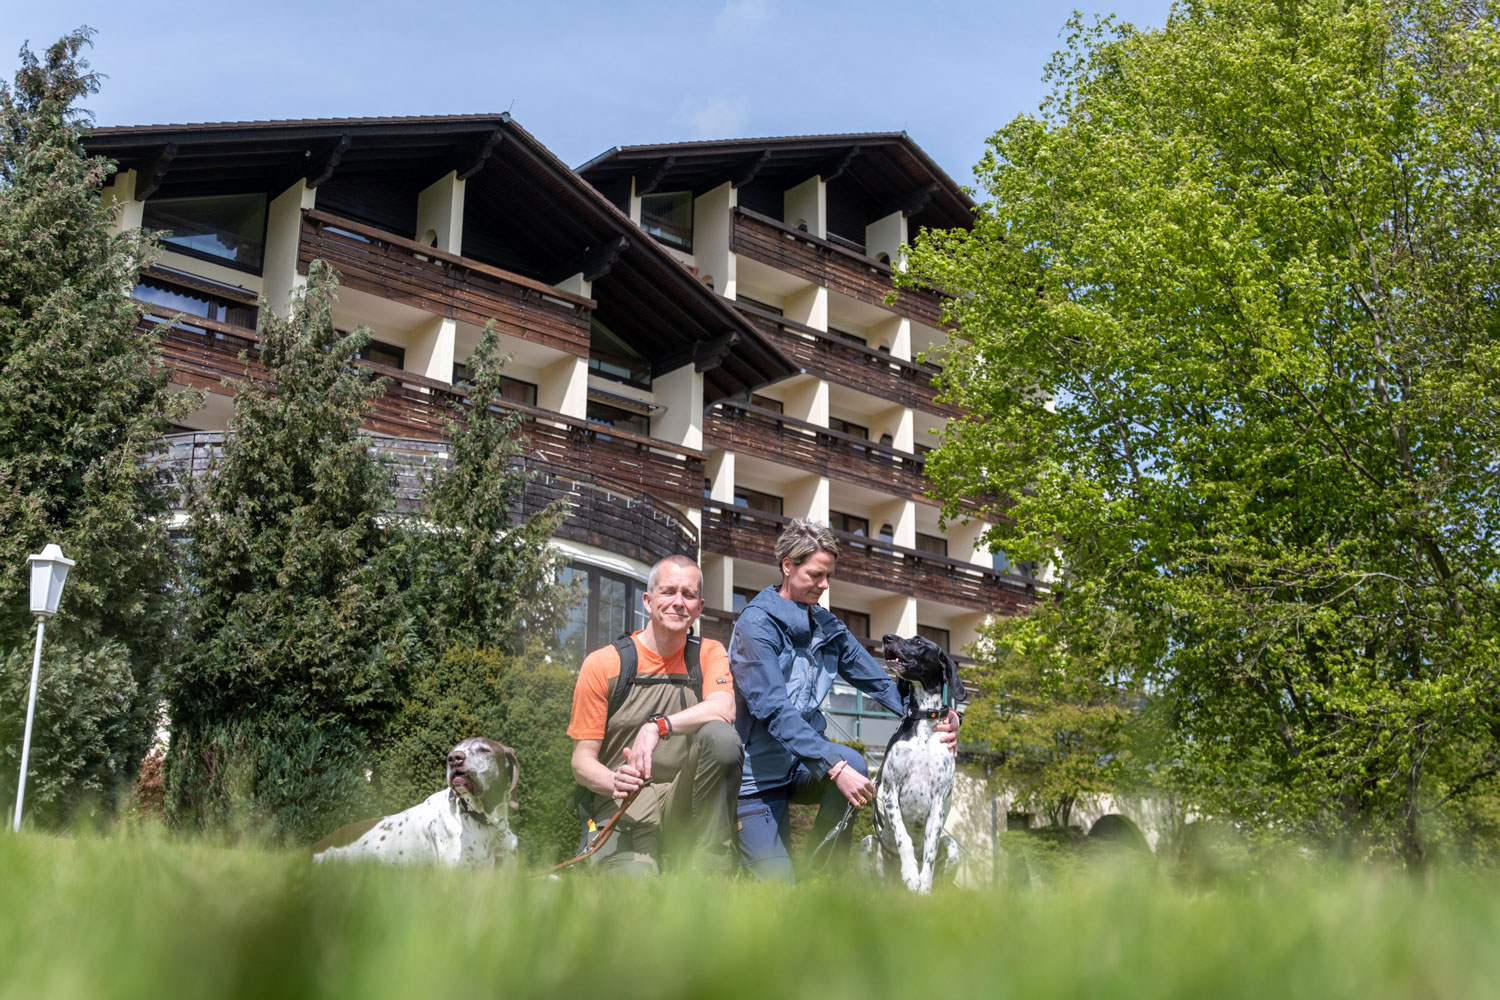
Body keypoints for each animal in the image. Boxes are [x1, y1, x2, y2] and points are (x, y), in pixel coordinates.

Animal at [864, 632, 966, 893]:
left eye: (919, 641)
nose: (886, 637)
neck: (924, 722)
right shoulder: (890, 792)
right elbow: (904, 837)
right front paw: (910, 872)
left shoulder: (939, 801)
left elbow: (929, 852)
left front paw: (923, 886)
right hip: (867, 844)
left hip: (952, 847)